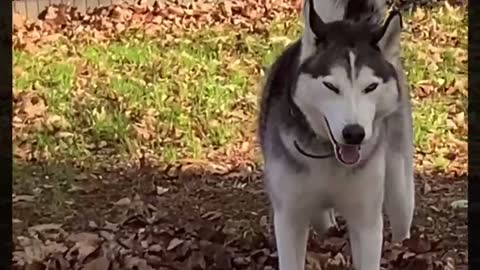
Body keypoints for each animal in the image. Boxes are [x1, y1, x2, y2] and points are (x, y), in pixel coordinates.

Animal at [256, 0, 414, 268]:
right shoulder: (289, 217)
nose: (354, 133)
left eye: (370, 87)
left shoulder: (366, 221)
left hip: (400, 187)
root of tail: (346, 22)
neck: (327, 156)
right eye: (330, 86)